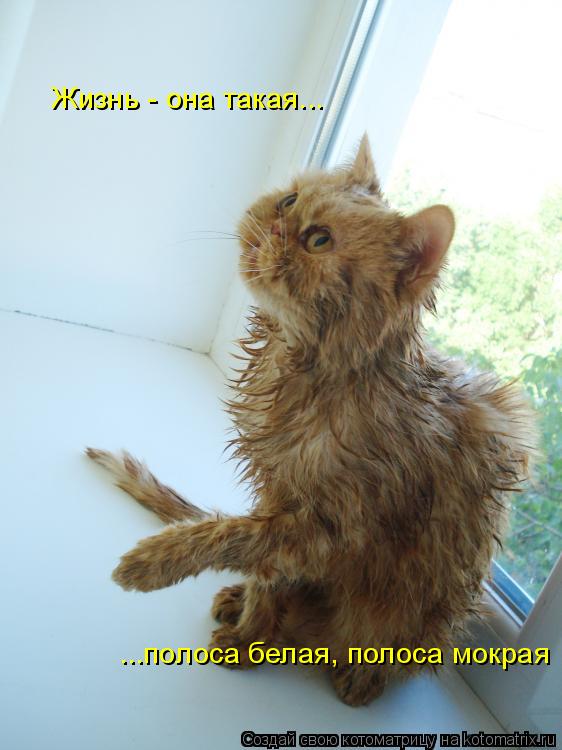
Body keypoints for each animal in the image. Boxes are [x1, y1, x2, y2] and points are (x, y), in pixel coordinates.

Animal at [87, 135, 535, 706]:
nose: (276, 228)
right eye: (288, 202)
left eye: (319, 240)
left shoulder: (332, 528)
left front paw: (158, 565)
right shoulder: (278, 496)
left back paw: (360, 676)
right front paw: (250, 633)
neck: (296, 362)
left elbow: (232, 536)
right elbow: (264, 573)